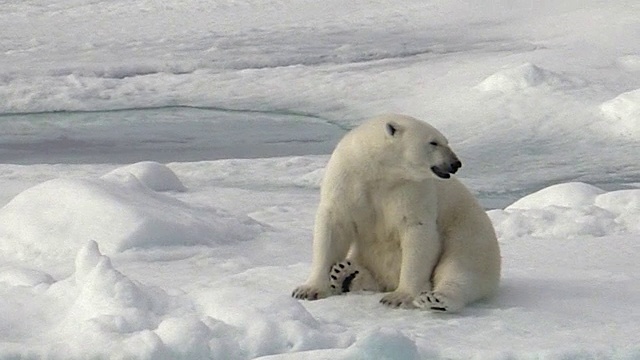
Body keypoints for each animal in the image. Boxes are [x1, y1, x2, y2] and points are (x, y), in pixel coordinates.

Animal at [292, 113, 502, 312]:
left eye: (445, 141)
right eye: (434, 142)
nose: (455, 163)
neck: (379, 171)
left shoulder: (411, 190)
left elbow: (417, 232)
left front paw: (399, 297)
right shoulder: (347, 180)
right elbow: (334, 226)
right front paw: (308, 290)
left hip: (468, 234)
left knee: (460, 268)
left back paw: (436, 299)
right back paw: (346, 273)